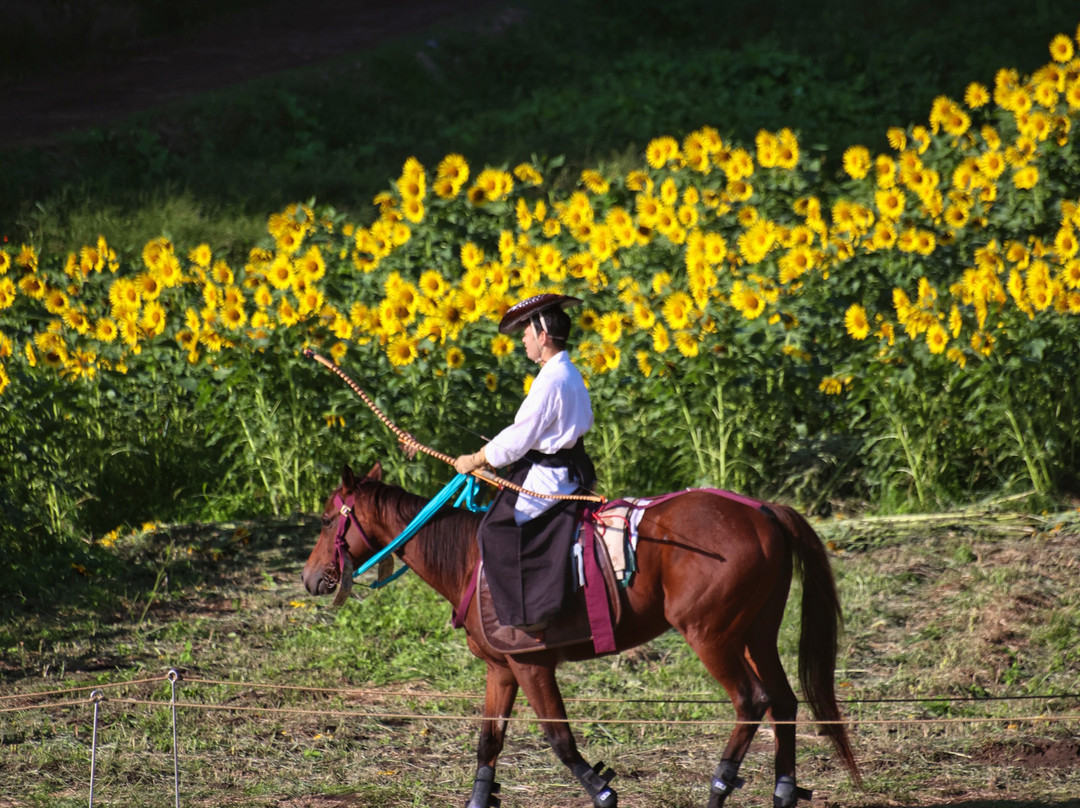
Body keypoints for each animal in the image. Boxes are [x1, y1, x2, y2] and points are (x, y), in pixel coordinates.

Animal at [302, 460, 859, 808]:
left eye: (328, 520)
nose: (309, 578)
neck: (469, 559)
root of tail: (763, 511)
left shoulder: (531, 664)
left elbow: (560, 739)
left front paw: (603, 791)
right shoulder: (501, 669)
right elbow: (489, 743)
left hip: (711, 635)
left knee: (752, 700)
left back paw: (719, 787)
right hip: (756, 633)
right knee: (784, 702)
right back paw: (783, 790)